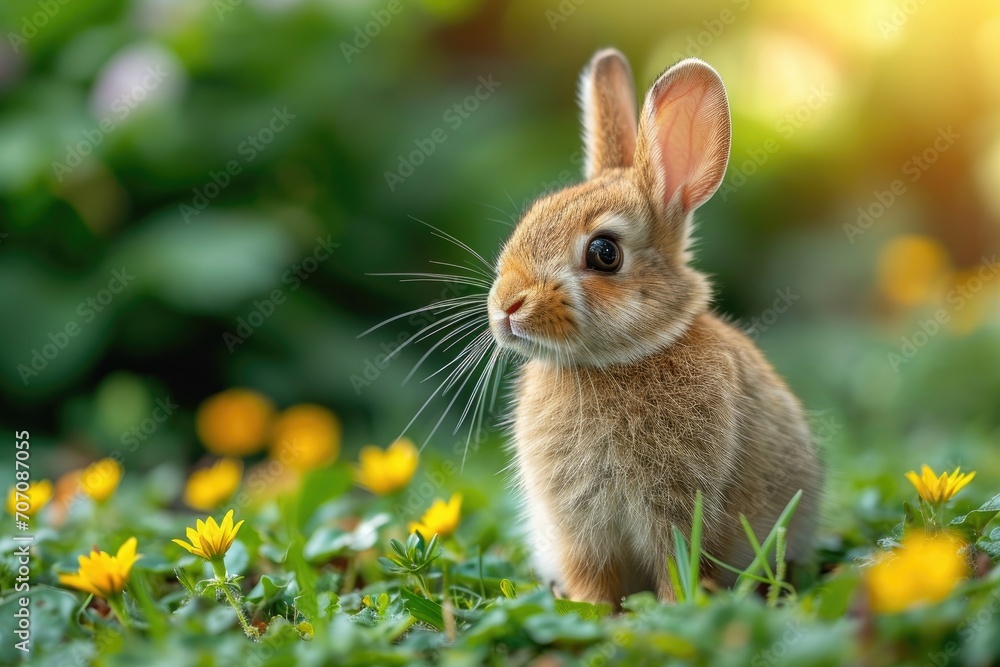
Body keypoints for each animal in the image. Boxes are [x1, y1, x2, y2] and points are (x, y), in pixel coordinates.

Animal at [485, 49, 823, 606]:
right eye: (529, 219)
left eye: (605, 252)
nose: (507, 306)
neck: (615, 363)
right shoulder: (579, 528)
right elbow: (592, 579)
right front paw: (590, 609)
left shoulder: (680, 511)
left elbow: (677, 568)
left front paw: (674, 608)